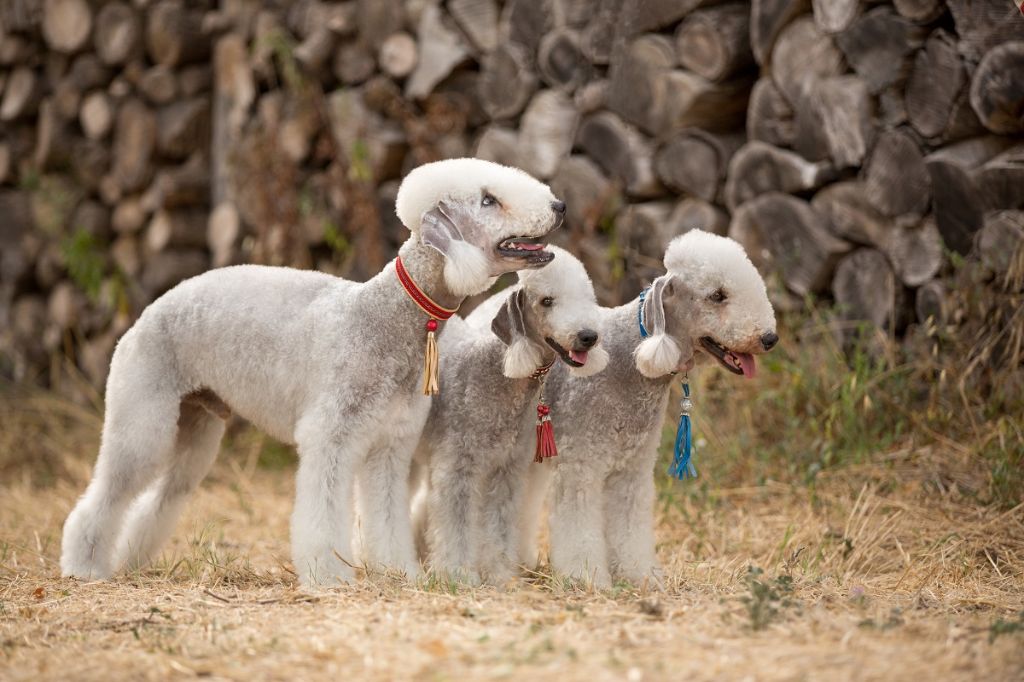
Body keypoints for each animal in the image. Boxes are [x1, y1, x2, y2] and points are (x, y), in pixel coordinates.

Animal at [61, 157, 569, 585]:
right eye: (488, 200)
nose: (560, 206)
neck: (385, 318)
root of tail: (147, 312)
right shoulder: (331, 438)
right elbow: (322, 516)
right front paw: (329, 575)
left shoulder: (390, 446)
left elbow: (387, 518)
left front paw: (398, 571)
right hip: (143, 420)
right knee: (107, 493)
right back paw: (85, 566)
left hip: (197, 427)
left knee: (163, 496)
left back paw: (128, 560)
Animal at [520, 229, 774, 585]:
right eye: (717, 295)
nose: (769, 338)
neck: (632, 355)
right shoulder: (580, 466)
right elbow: (578, 525)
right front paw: (587, 578)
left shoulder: (634, 469)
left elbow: (631, 526)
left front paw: (641, 575)